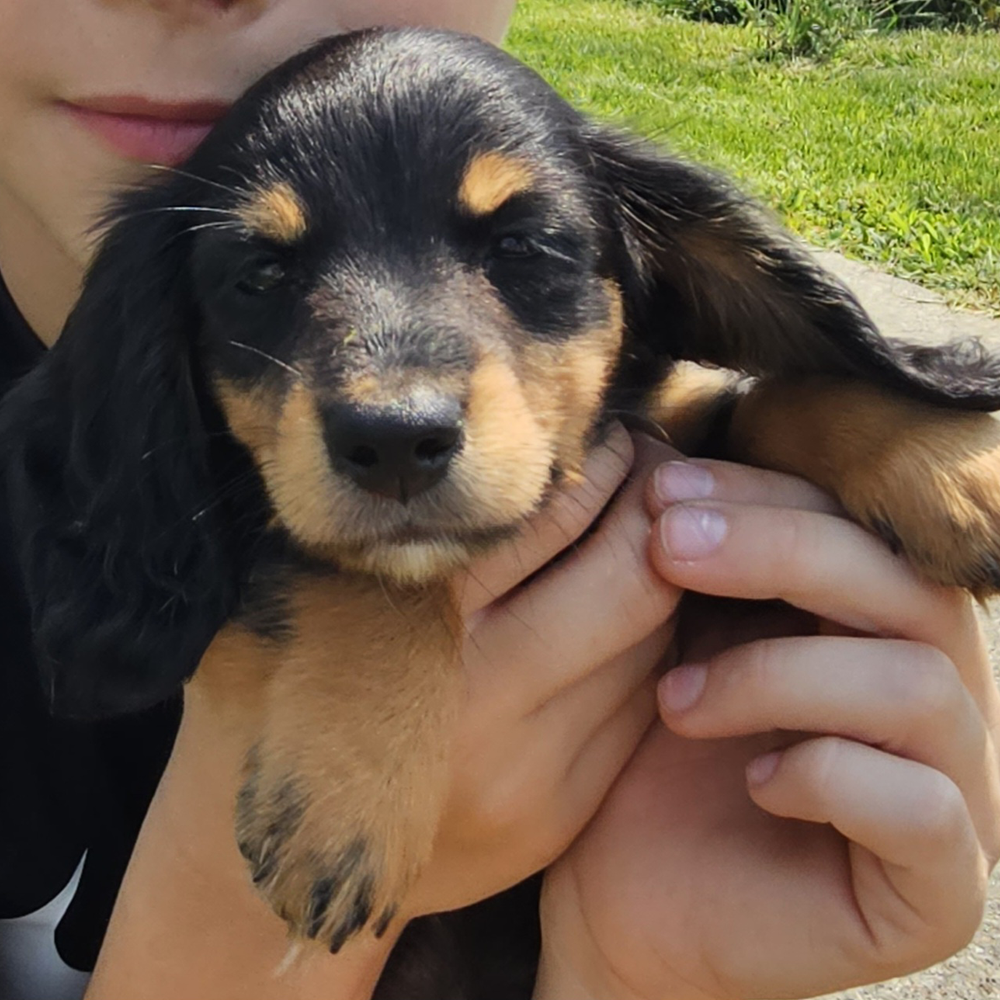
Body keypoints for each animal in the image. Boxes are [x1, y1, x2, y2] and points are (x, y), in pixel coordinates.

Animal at [7, 25, 1000, 968]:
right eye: (258, 275)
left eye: (522, 246)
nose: (394, 444)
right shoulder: (257, 509)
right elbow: (369, 572)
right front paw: (350, 793)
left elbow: (760, 401)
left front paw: (948, 465)